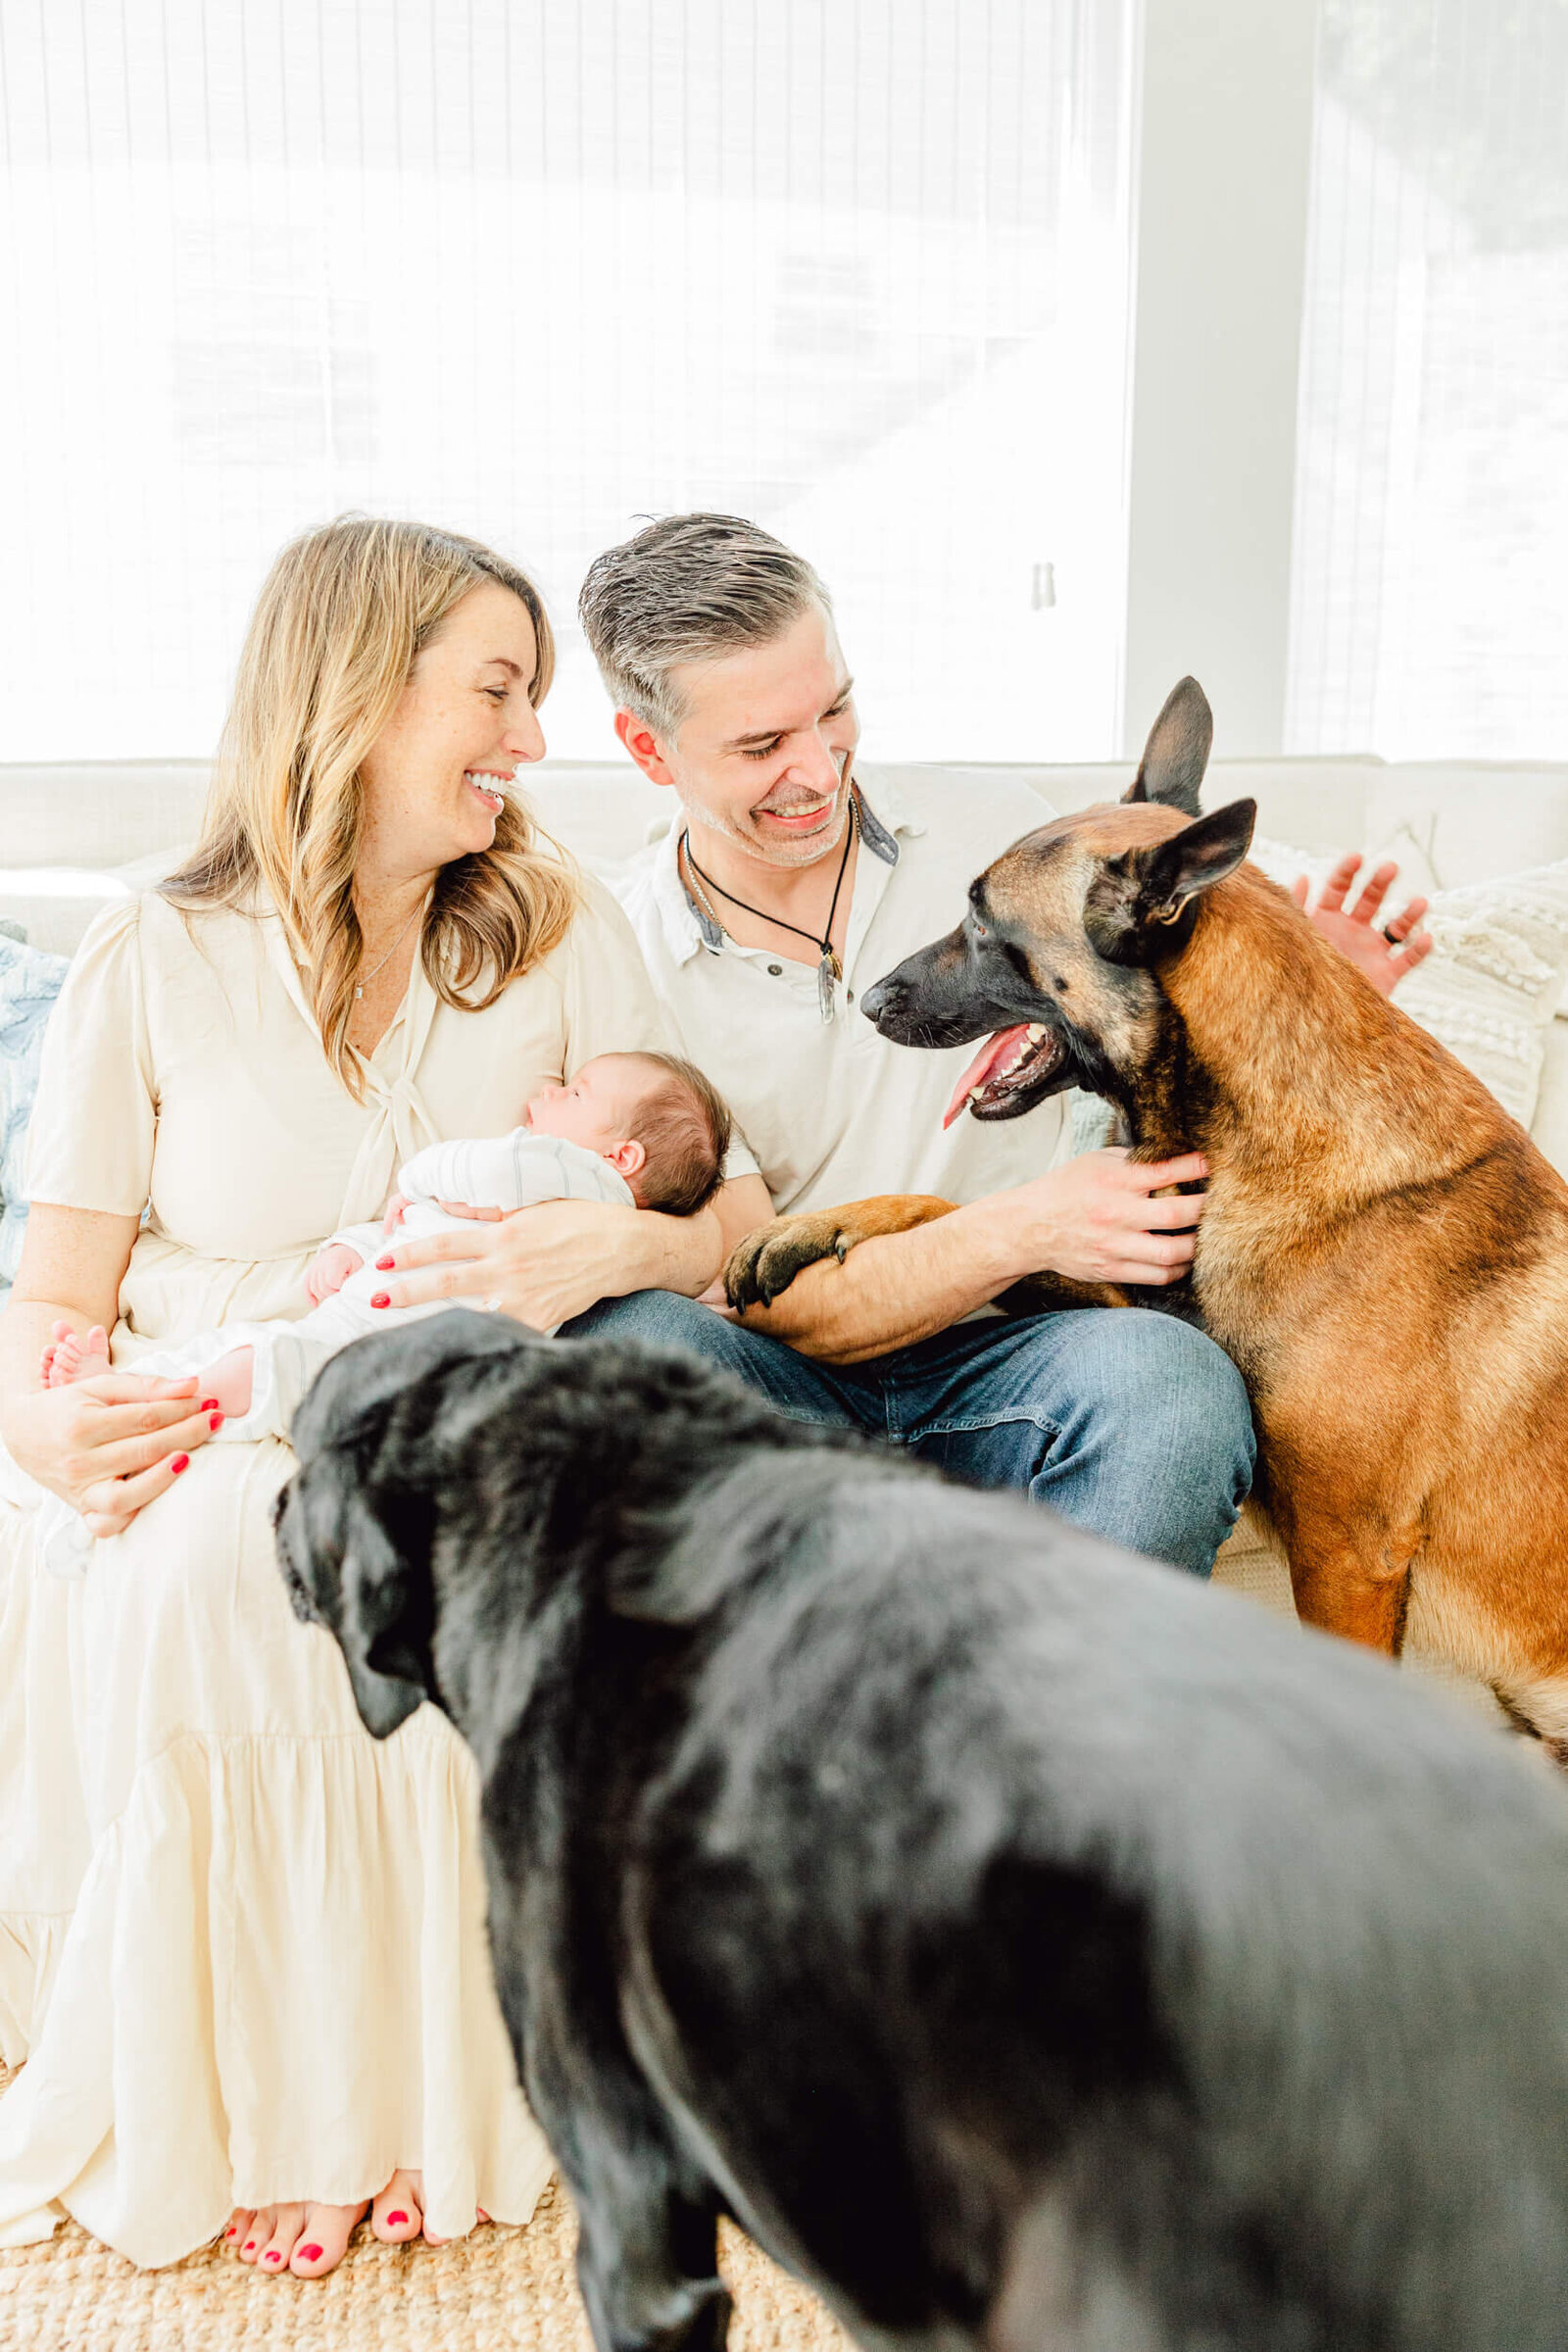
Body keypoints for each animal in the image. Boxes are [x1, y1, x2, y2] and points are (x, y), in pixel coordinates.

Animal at [728, 682, 1568, 1749]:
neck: (1253, 1135)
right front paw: (815, 1226)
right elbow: (966, 1212)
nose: (869, 997)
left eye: (981, 921)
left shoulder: (1347, 1550)